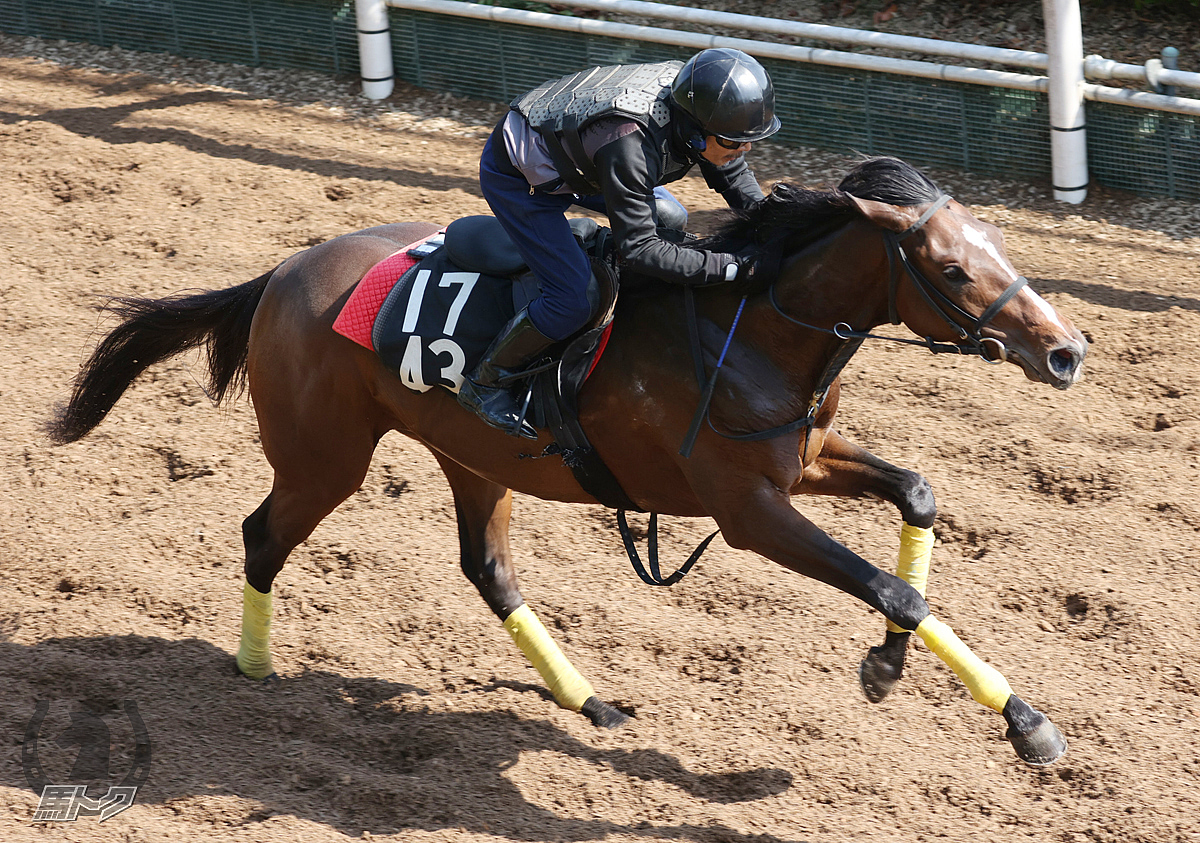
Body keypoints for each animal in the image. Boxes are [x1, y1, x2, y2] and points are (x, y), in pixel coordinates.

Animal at [49, 157, 1089, 768]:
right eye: (952, 269)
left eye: (1000, 245)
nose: (1066, 351)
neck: (747, 327)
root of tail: (282, 274)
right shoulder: (748, 511)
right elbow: (892, 586)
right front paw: (1001, 712)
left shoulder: (803, 459)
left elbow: (919, 494)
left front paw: (916, 674)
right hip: (323, 459)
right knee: (262, 535)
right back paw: (257, 668)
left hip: (475, 455)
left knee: (487, 567)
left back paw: (589, 702)